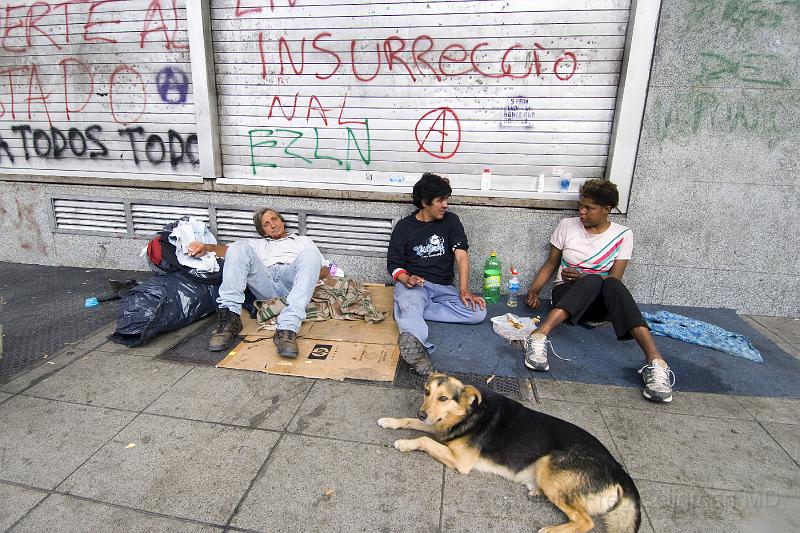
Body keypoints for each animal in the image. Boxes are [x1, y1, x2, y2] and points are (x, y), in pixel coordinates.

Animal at [378, 372, 640, 528]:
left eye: (443, 398)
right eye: (427, 392)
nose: (421, 412)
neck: (470, 412)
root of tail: (618, 469)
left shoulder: (461, 461)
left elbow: (424, 439)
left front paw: (404, 443)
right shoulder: (438, 426)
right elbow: (412, 423)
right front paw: (390, 421)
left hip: (551, 462)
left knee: (586, 522)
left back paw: (550, 530)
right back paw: (537, 492)